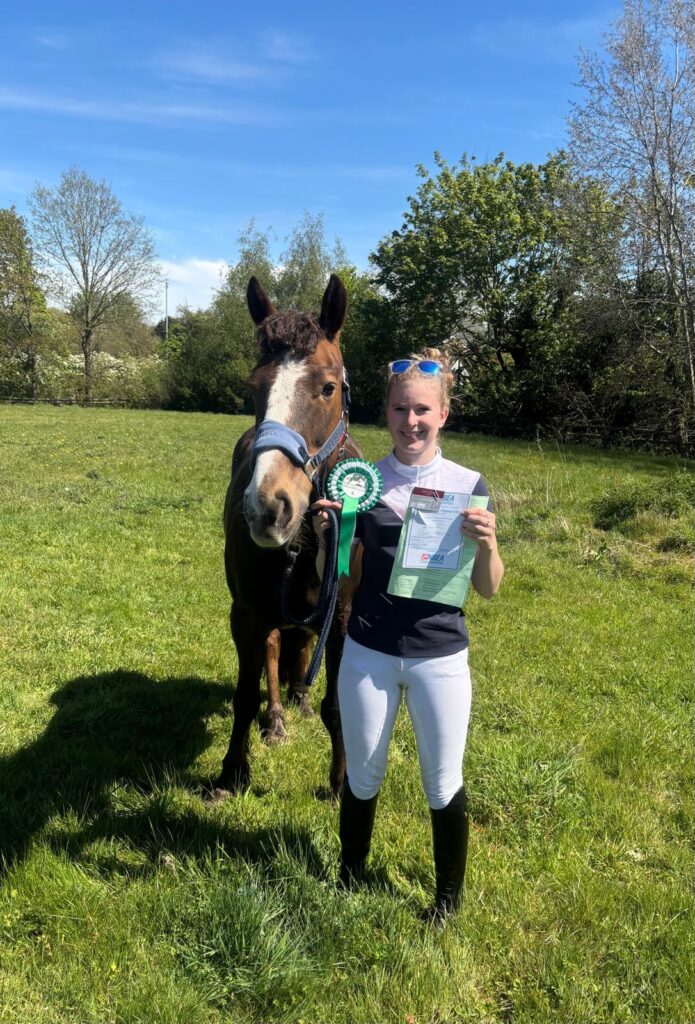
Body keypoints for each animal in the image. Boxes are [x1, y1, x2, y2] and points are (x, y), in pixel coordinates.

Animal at [211, 274, 361, 799]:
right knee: (277, 651)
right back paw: (277, 718)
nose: (269, 507)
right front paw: (231, 773)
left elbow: (338, 707)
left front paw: (340, 784)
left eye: (328, 387)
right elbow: (244, 695)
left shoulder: (343, 618)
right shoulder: (246, 613)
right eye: (253, 388)